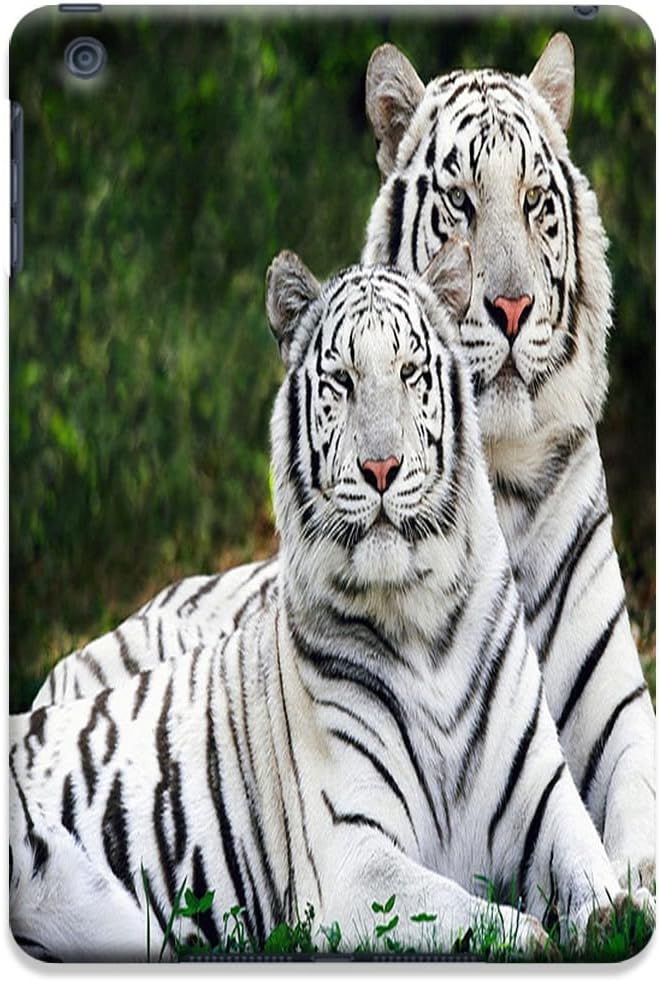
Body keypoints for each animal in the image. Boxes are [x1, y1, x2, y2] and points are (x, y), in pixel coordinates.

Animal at [11, 250, 649, 961]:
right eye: (342, 381)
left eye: (410, 372)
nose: (381, 468)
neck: (423, 621)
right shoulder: (351, 858)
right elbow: (466, 916)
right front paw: (532, 934)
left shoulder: (543, 795)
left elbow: (591, 870)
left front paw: (616, 911)